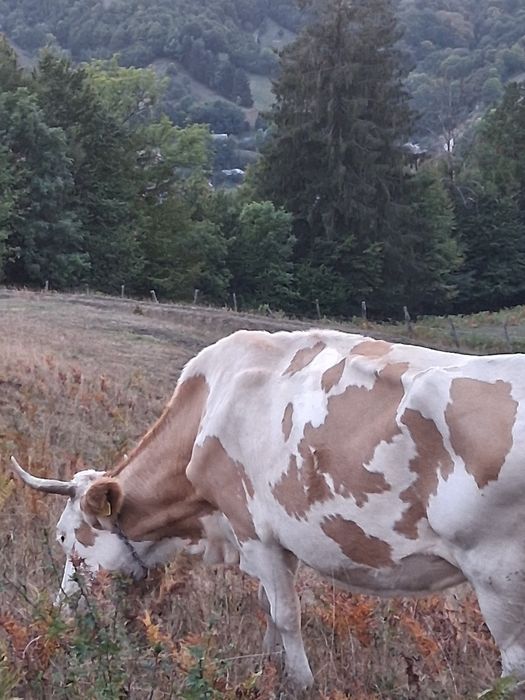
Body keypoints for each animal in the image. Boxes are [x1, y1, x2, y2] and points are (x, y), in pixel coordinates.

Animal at [10, 329, 525, 694]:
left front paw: (300, 682)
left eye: (64, 536)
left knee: (514, 665)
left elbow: (285, 614)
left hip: (498, 576)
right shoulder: (271, 540)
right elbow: (268, 608)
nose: (60, 612)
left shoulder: (252, 530)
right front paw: (268, 666)